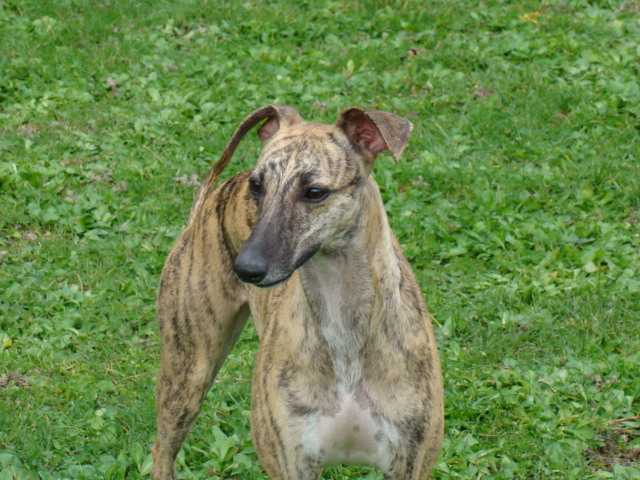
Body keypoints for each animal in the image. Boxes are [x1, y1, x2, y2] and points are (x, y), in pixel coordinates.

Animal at [153, 106, 444, 480]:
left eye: (315, 192)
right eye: (257, 186)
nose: (246, 267)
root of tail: (209, 201)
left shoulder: (410, 463)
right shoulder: (291, 462)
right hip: (187, 373)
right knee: (162, 449)